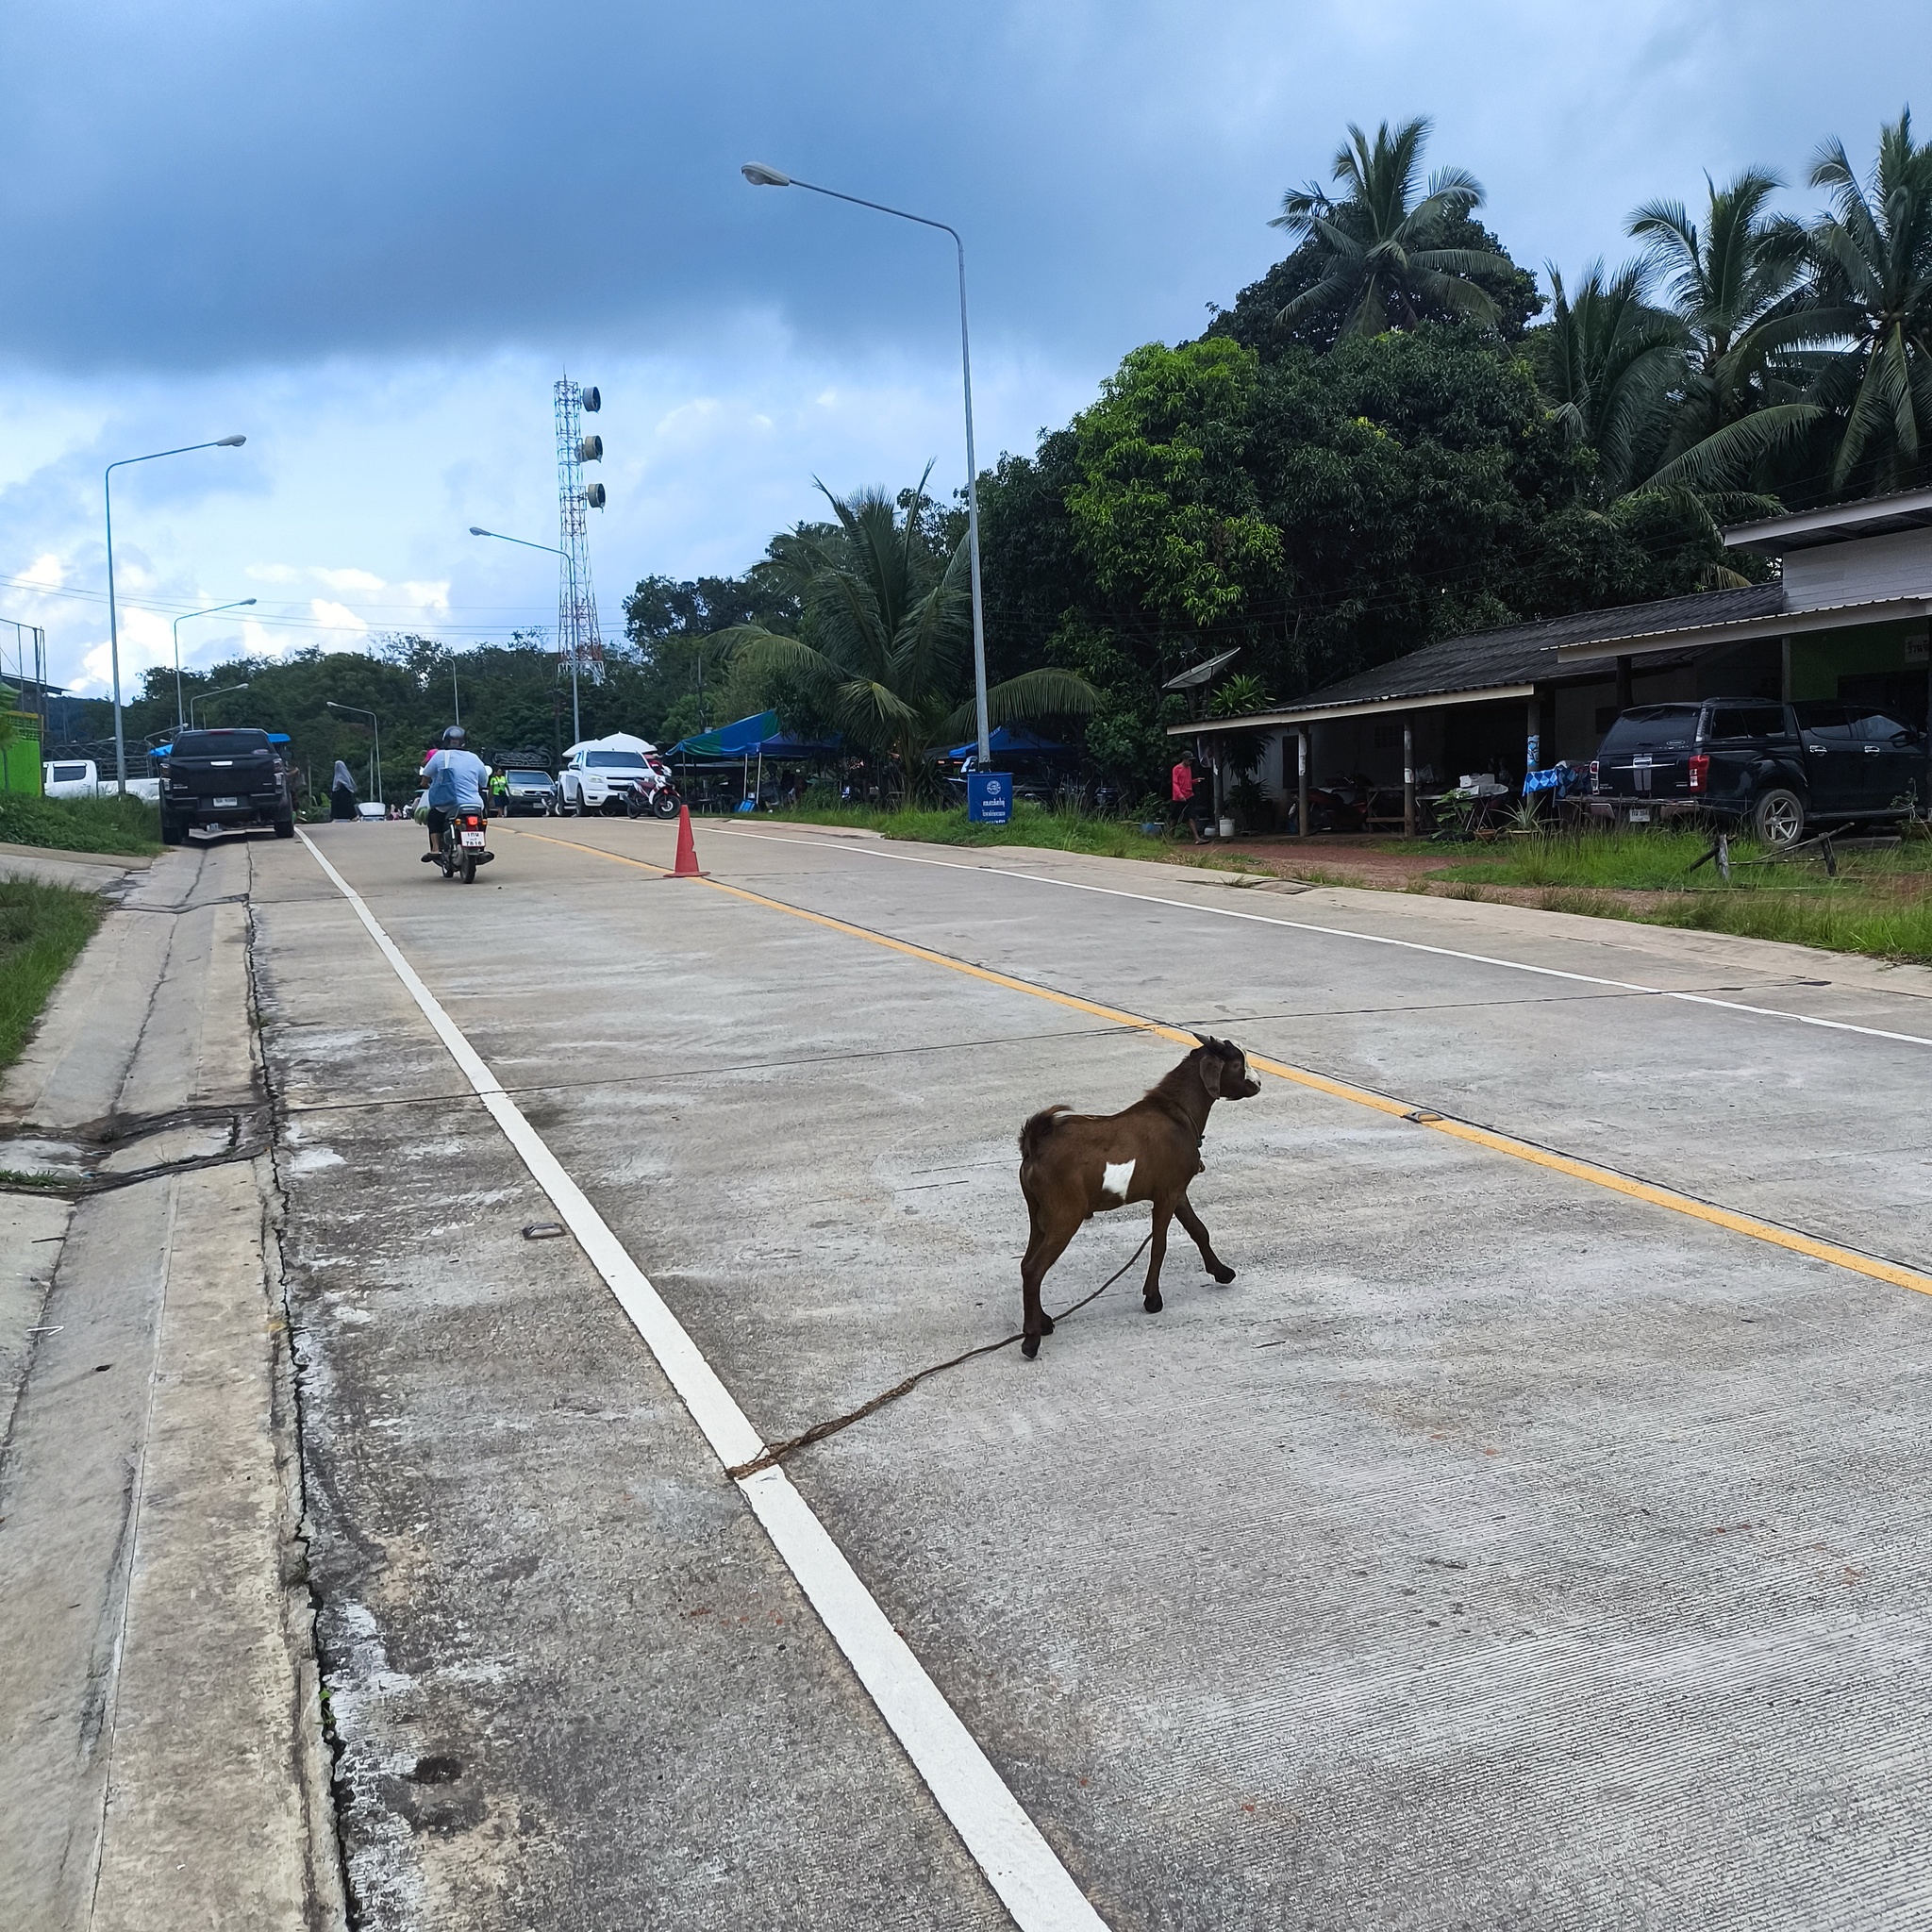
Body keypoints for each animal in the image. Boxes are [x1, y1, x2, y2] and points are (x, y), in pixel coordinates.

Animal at [1012, 1027, 1267, 1359]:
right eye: (1237, 1063)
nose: (1258, 1084)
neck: (1176, 1113)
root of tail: (1034, 1144)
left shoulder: (1177, 1190)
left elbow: (1199, 1230)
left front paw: (1222, 1272)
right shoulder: (1166, 1194)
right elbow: (1159, 1244)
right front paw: (1152, 1299)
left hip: (1038, 1212)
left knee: (1027, 1263)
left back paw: (1042, 1321)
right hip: (1064, 1214)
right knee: (1034, 1268)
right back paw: (1031, 1340)